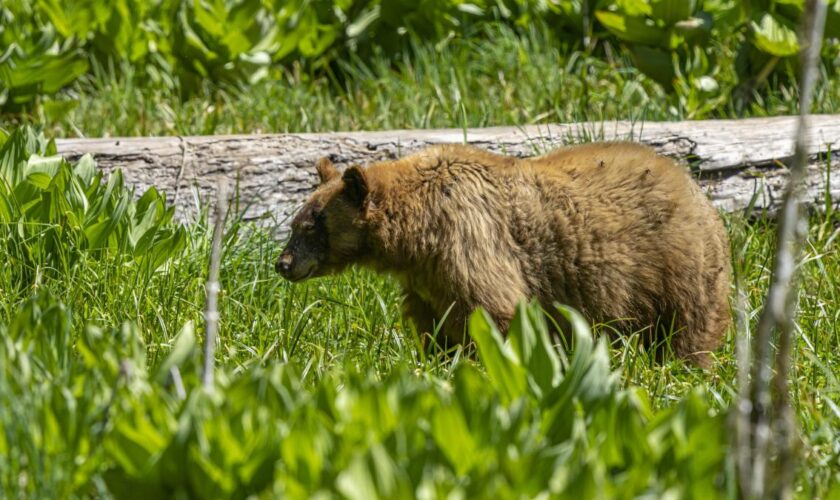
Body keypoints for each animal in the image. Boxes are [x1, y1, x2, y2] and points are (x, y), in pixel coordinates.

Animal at [276, 142, 728, 368]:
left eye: (313, 224)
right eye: (295, 223)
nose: (283, 264)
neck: (416, 233)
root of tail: (696, 189)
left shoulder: (467, 239)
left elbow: (492, 311)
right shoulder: (426, 280)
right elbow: (433, 326)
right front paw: (440, 362)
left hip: (677, 264)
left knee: (688, 327)